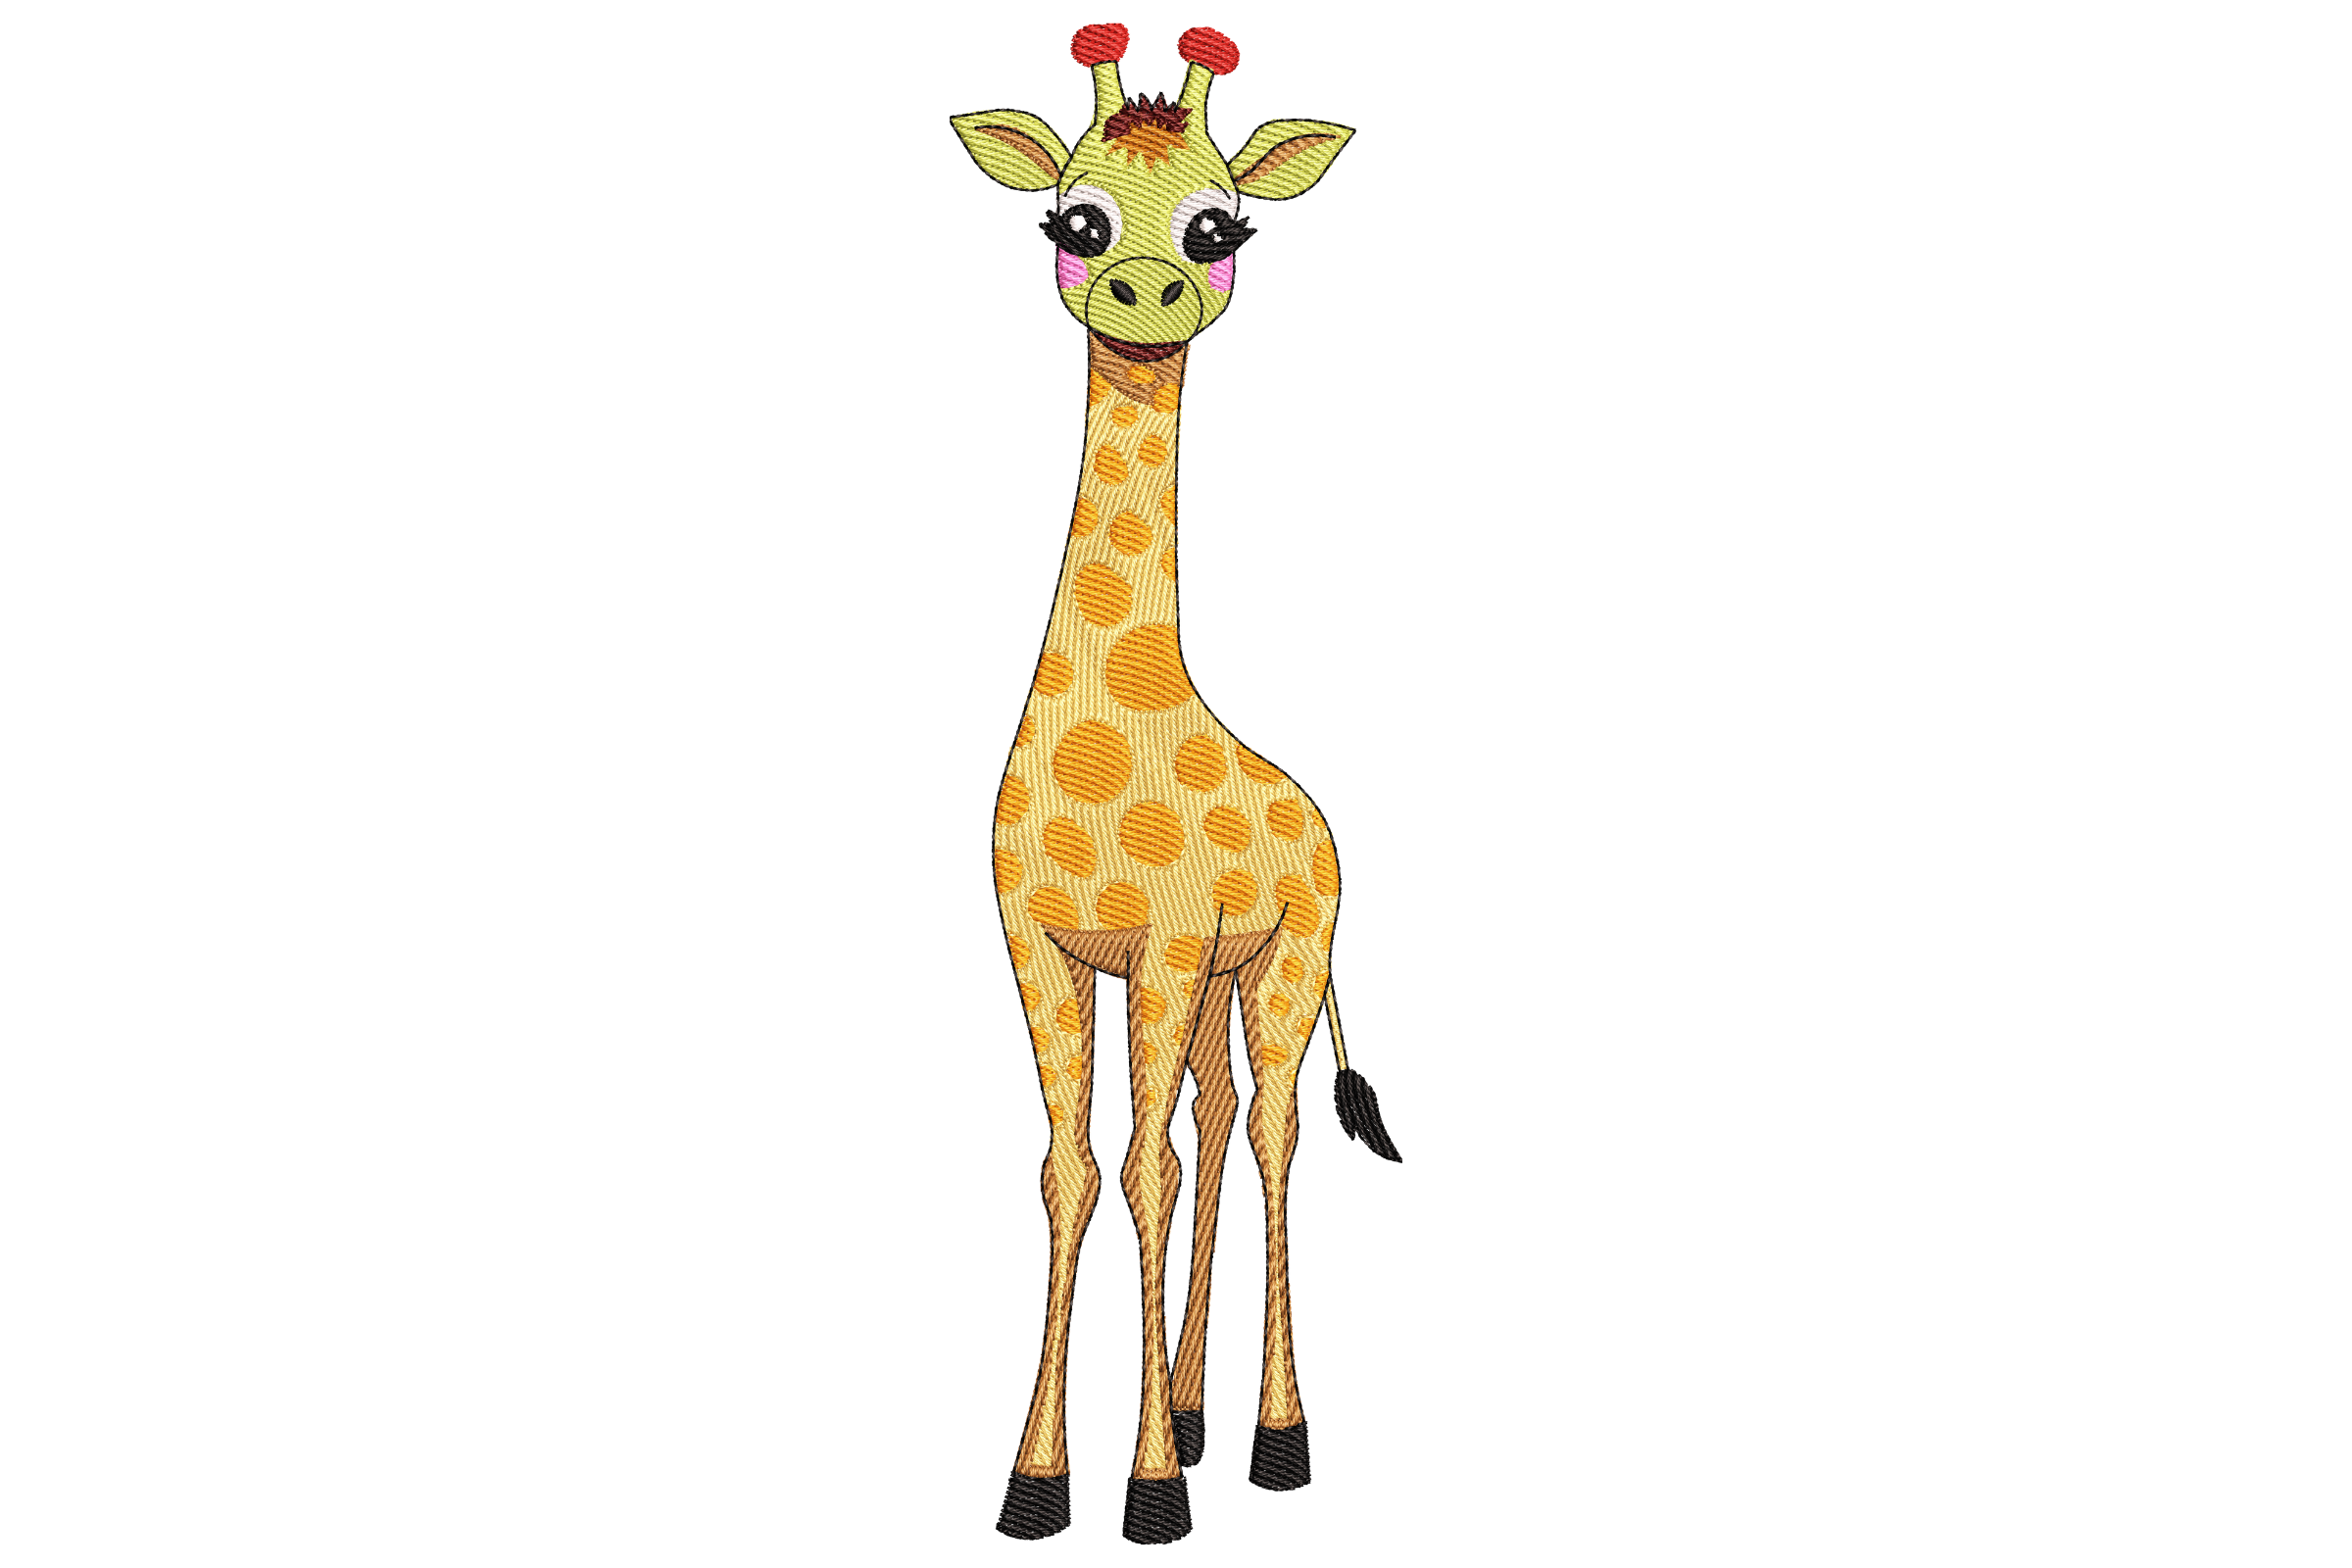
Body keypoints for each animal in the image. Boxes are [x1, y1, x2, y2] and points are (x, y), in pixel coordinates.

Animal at [952, 24, 1402, 1546]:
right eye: (1075, 221)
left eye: (1218, 226)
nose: (1145, 291)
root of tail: (1321, 817)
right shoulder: (1044, 947)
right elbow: (1074, 1169)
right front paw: (1039, 1481)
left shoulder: (1156, 949)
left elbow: (1137, 1167)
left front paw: (1147, 1491)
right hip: (1215, 990)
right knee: (1208, 1136)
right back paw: (1203, 1415)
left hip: (1281, 969)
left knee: (1265, 1137)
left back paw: (1268, 1438)